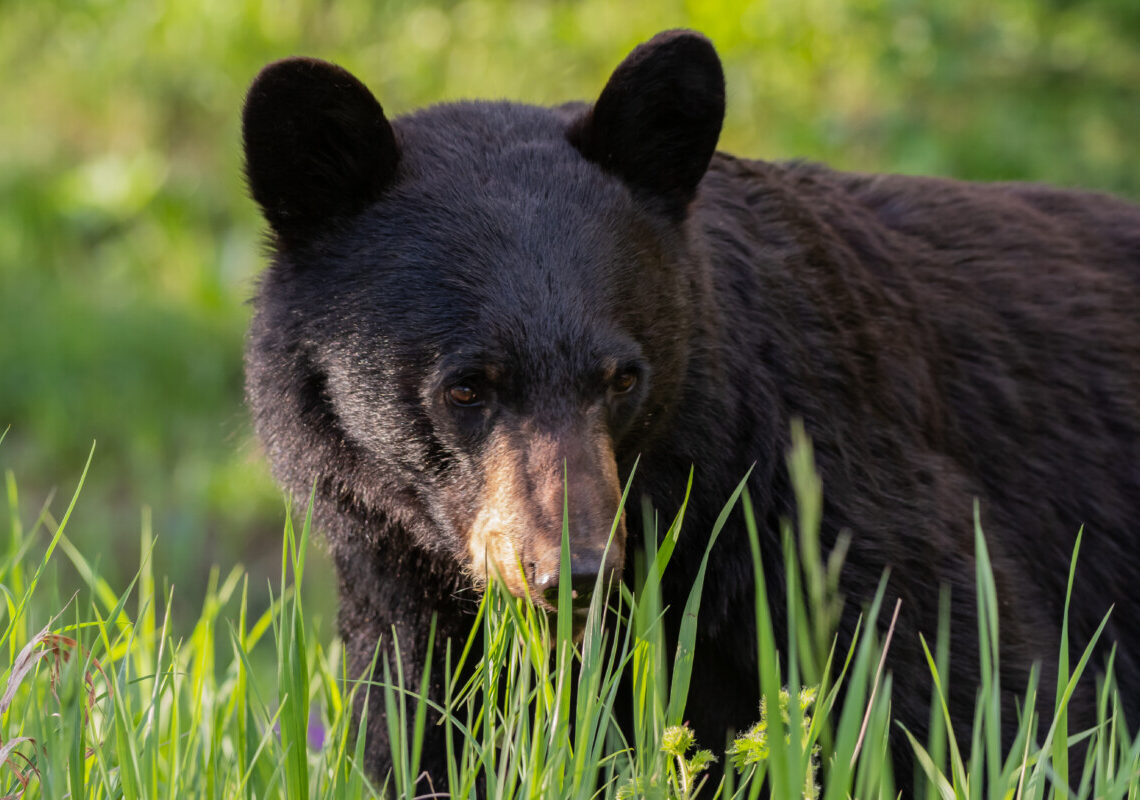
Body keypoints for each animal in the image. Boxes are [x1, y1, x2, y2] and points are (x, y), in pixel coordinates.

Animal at [241, 30, 1140, 791]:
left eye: (621, 378)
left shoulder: (824, 492)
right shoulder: (402, 580)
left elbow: (988, 693)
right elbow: (424, 734)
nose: (574, 573)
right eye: (466, 385)